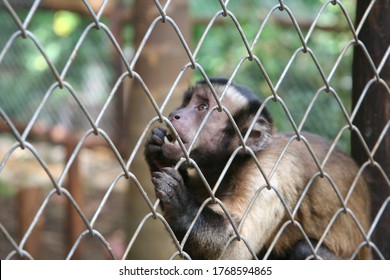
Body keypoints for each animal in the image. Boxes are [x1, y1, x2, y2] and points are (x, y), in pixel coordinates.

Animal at [144, 77, 372, 260]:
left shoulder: (269, 169)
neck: (237, 159)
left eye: (202, 107)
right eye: (186, 103)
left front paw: (181, 205)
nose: (175, 114)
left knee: (303, 250)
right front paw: (159, 156)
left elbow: (234, 248)